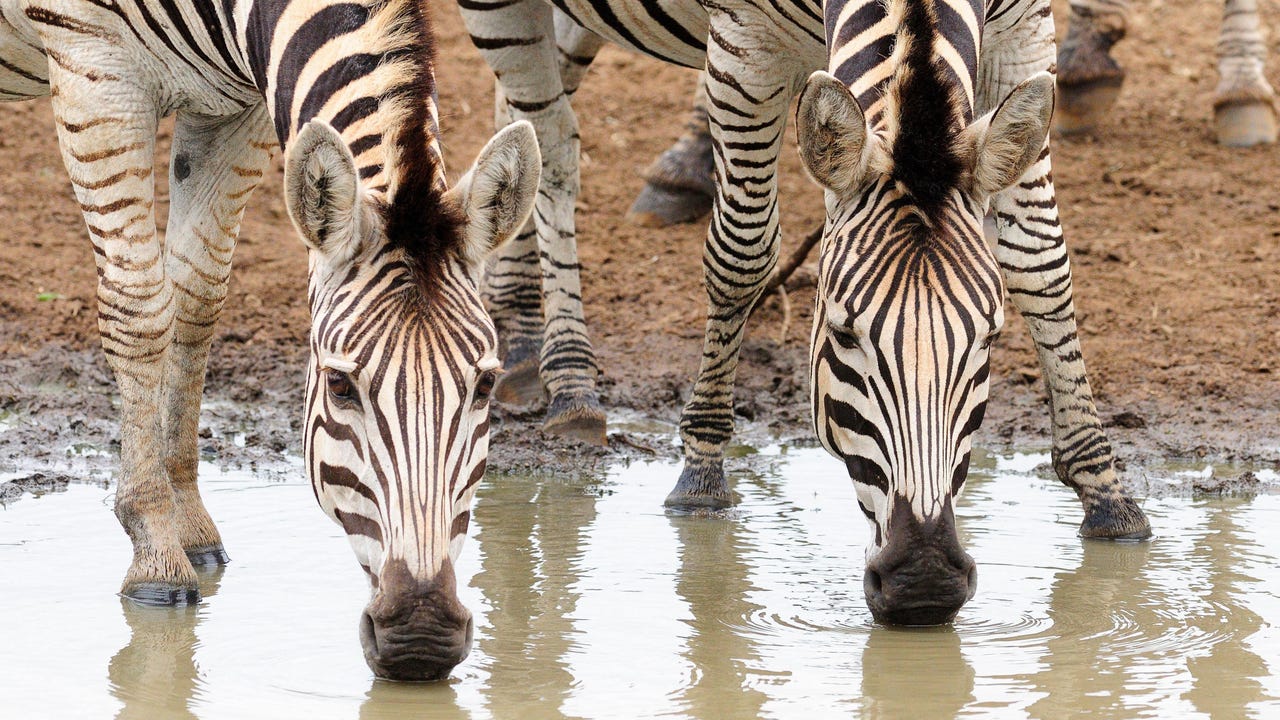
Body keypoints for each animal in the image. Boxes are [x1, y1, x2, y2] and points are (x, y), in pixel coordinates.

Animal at [0, 0, 540, 680]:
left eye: (487, 384)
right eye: (339, 386)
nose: (422, 636)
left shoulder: (235, 110)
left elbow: (196, 294)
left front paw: (190, 526)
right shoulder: (93, 72)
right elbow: (140, 307)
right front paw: (155, 550)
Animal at [463, 0, 1152, 623]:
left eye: (989, 338)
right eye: (843, 333)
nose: (925, 581)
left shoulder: (1026, 34)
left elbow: (1041, 259)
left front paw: (1104, 490)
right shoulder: (742, 50)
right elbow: (741, 253)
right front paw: (702, 470)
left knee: (519, 128)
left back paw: (517, 339)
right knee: (555, 148)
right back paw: (569, 378)